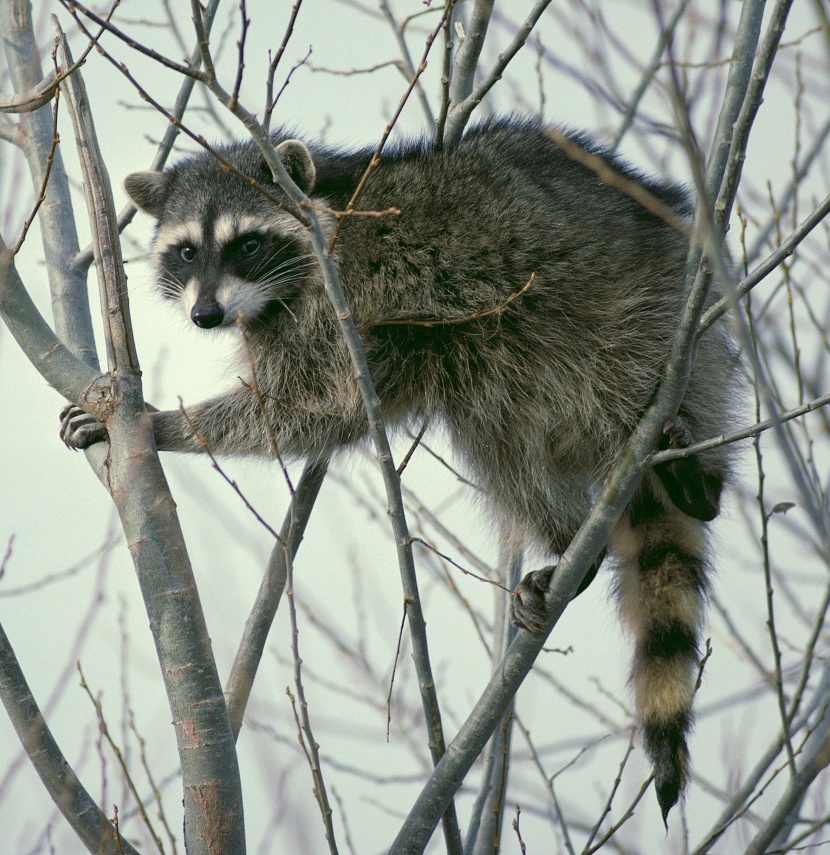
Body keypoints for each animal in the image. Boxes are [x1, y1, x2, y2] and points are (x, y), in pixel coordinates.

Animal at [61, 120, 744, 824]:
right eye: (187, 251)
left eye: (247, 244)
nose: (206, 316)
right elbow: (320, 413)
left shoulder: (345, 300)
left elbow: (309, 403)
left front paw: (162, 423)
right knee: (499, 438)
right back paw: (569, 539)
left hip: (644, 312)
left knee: (616, 376)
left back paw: (697, 478)